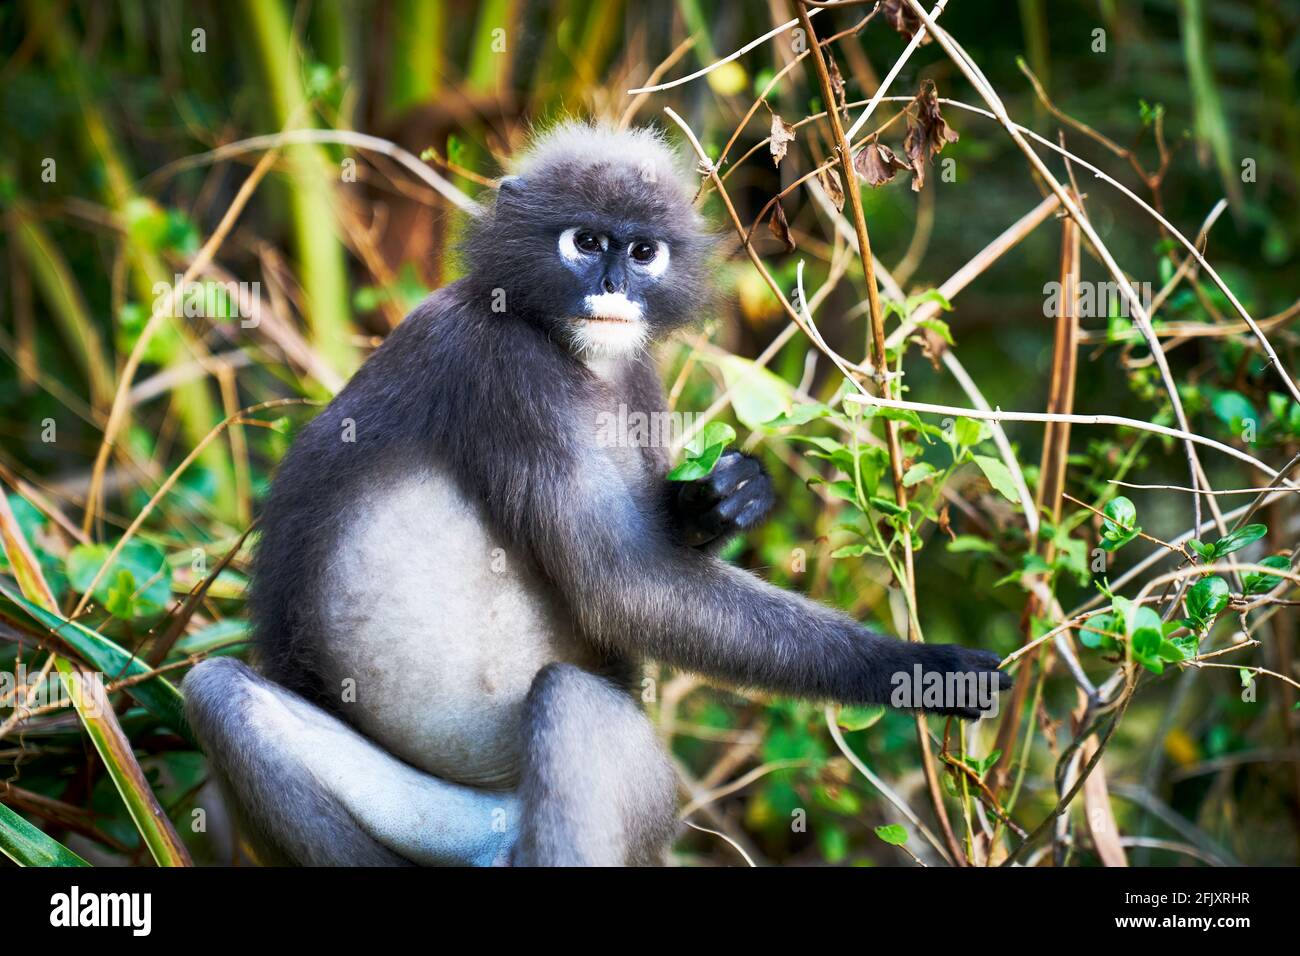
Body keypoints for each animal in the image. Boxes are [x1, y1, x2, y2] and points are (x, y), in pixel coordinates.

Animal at [183, 121, 1010, 866]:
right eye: (585, 242)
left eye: (642, 252)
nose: (612, 286)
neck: (565, 347)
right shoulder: (503, 365)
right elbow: (627, 586)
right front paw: (922, 670)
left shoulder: (636, 375)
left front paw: (723, 502)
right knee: (230, 691)